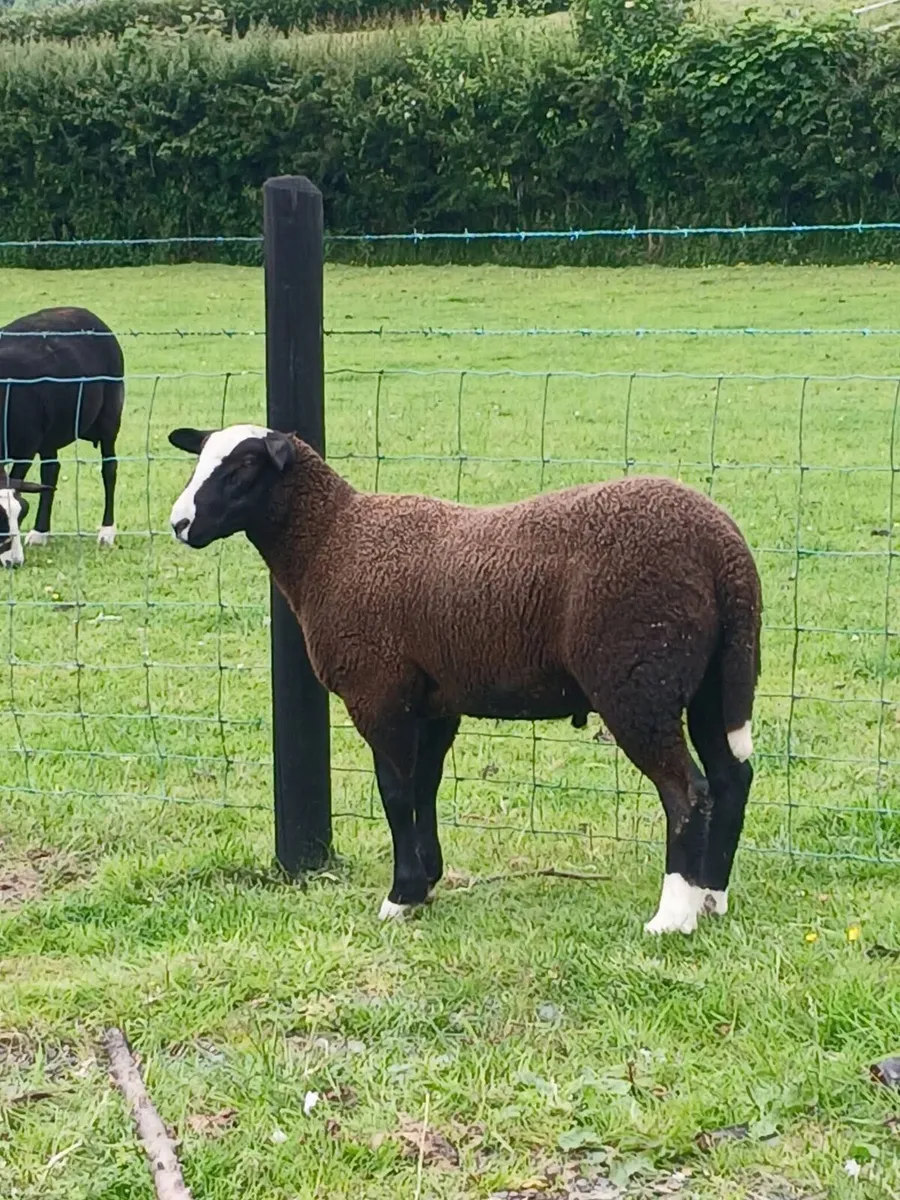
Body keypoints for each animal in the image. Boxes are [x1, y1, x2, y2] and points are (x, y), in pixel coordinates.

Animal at [0, 306, 124, 567]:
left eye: (21, 513)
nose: (14, 563)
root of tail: (83, 311)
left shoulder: (26, 446)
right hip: (48, 432)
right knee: (51, 471)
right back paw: (40, 533)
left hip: (110, 416)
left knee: (109, 469)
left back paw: (106, 532)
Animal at [168, 423, 762, 935]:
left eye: (243, 467)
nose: (179, 524)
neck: (330, 544)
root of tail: (724, 549)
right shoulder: (435, 701)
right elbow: (423, 787)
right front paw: (426, 880)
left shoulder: (377, 691)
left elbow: (394, 791)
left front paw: (400, 895)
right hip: (715, 679)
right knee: (732, 778)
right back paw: (712, 898)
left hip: (638, 679)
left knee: (688, 792)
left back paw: (673, 916)